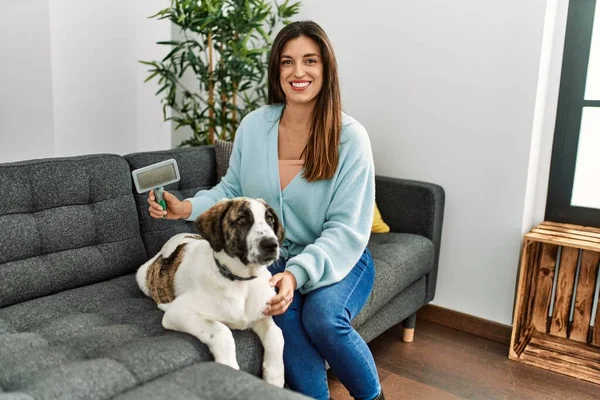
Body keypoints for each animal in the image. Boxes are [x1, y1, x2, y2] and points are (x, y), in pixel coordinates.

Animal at [136, 197, 286, 388]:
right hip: (142, 275)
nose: (271, 244)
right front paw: (229, 368)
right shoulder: (178, 313)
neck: (240, 282)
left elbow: (277, 334)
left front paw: (275, 377)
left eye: (270, 219)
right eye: (241, 220)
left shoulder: (261, 314)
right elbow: (222, 330)